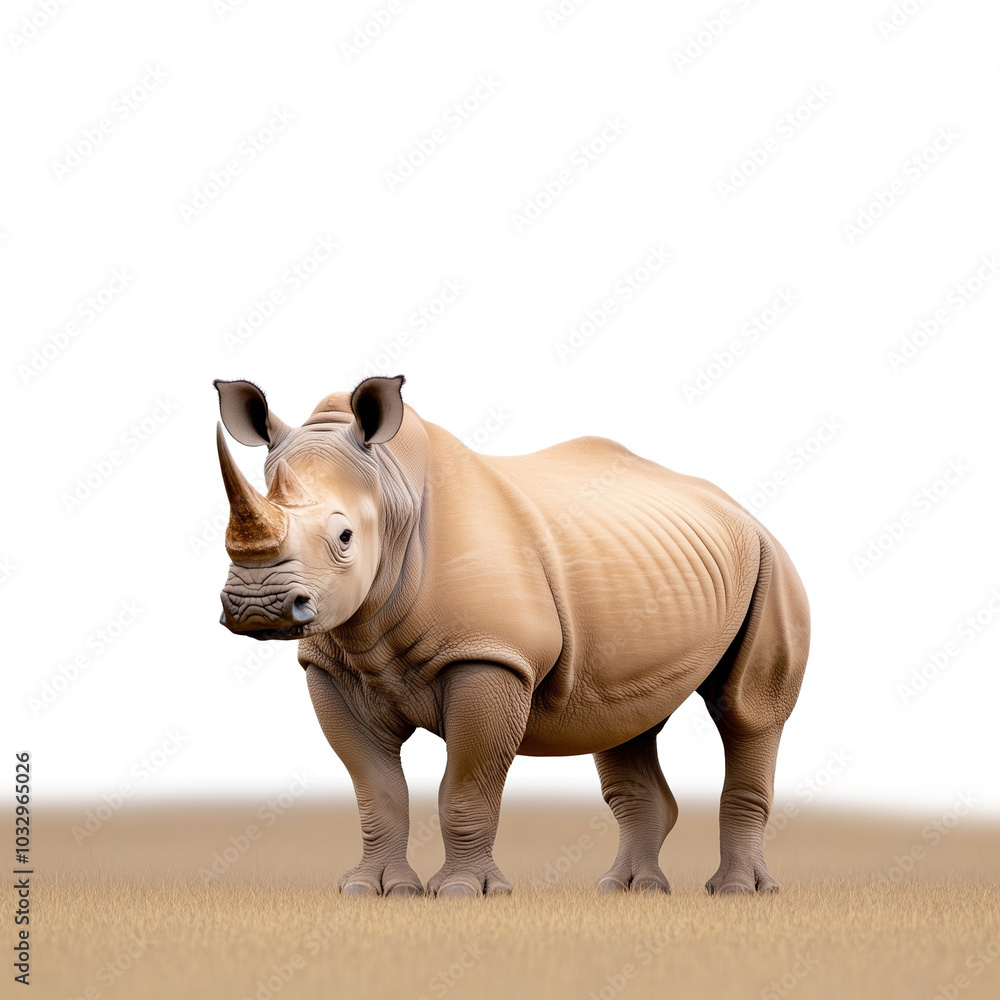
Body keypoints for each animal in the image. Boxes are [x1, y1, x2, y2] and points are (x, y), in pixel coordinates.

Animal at [214, 375, 810, 898]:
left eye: (343, 538)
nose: (257, 606)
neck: (390, 490)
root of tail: (742, 510)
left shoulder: (493, 657)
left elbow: (466, 787)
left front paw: (463, 892)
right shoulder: (332, 667)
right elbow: (376, 791)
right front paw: (372, 890)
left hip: (772, 561)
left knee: (747, 713)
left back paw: (737, 892)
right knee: (627, 717)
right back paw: (628, 890)